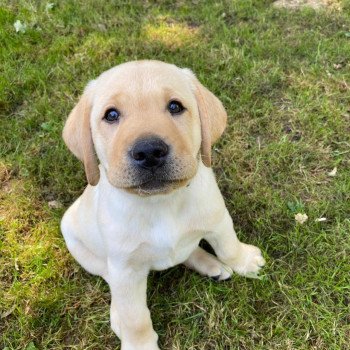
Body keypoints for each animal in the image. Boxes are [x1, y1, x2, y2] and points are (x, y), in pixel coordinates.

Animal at [61, 60, 266, 350]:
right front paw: (139, 344)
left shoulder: (218, 220)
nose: (149, 151)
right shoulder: (125, 268)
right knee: (109, 280)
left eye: (175, 107)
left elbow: (228, 246)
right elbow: (135, 316)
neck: (161, 202)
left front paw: (244, 261)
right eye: (111, 115)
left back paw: (212, 266)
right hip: (78, 244)